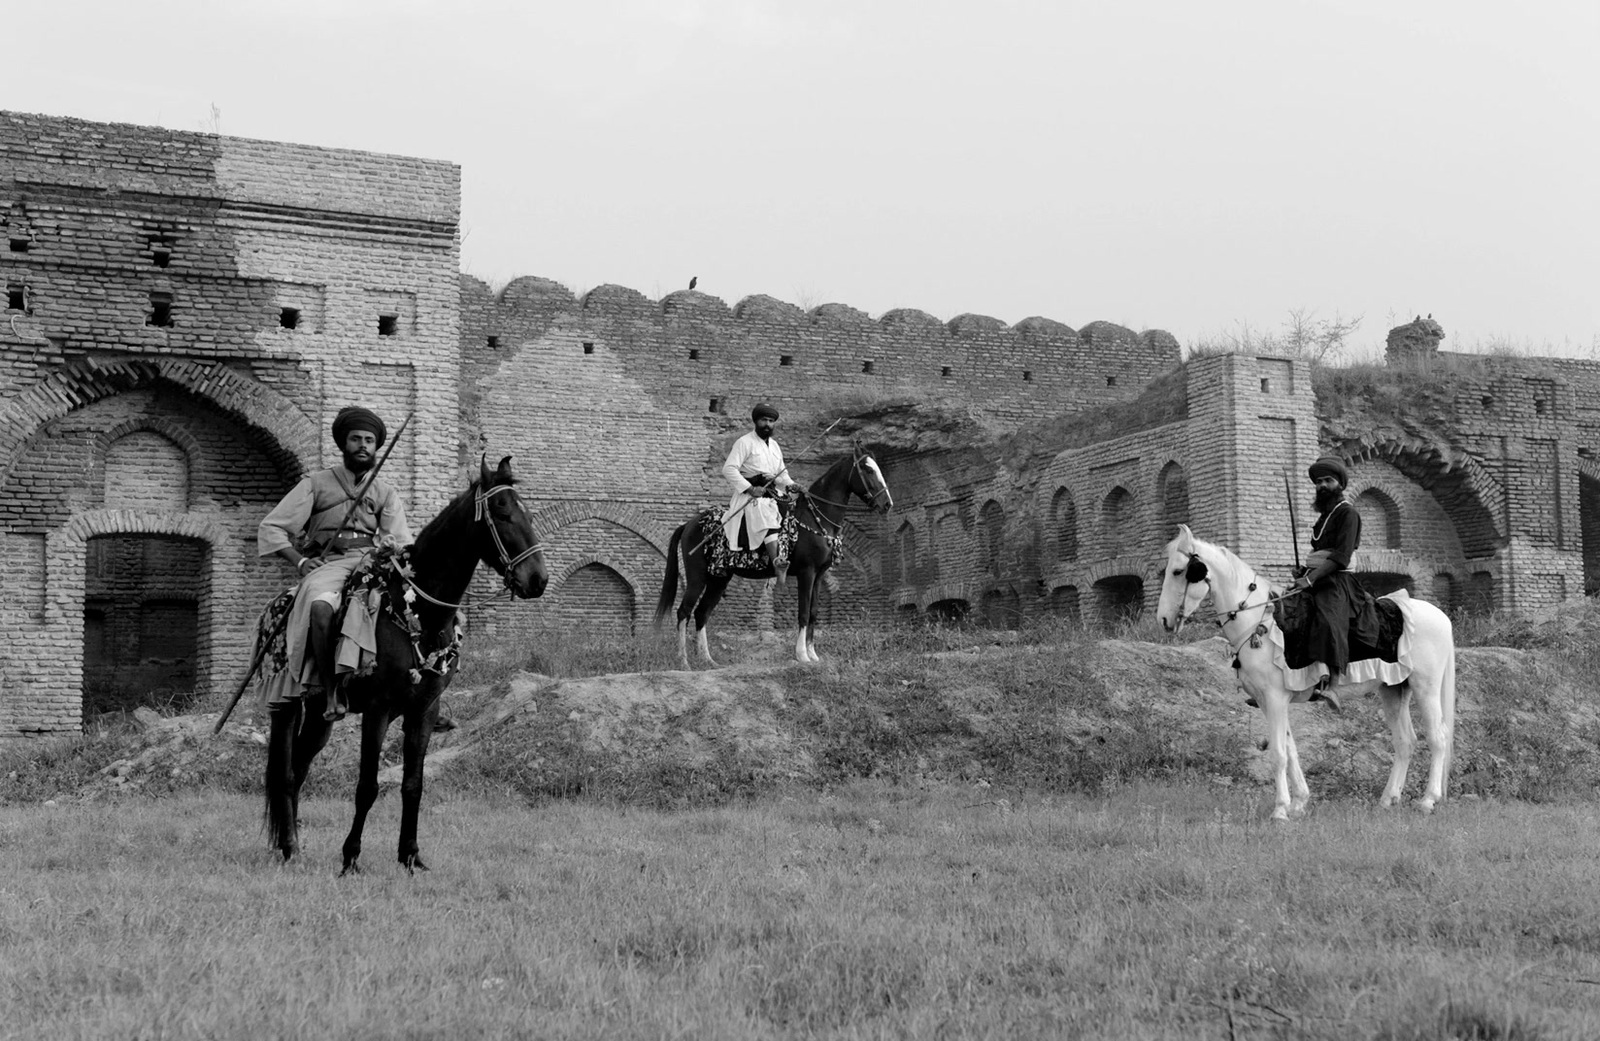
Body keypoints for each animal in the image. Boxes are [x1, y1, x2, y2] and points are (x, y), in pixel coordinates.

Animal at [265, 457, 547, 869]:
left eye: (526, 511)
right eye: (502, 511)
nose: (538, 579)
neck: (420, 613)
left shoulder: (424, 710)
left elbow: (414, 784)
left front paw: (410, 855)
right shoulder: (378, 710)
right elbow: (367, 786)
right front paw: (351, 857)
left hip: (318, 718)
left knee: (298, 769)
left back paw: (295, 845)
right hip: (287, 704)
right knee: (286, 773)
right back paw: (288, 847)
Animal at [656, 441, 896, 668]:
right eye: (868, 470)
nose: (887, 504)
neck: (815, 518)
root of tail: (689, 524)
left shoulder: (818, 576)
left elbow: (813, 613)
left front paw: (813, 654)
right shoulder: (807, 573)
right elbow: (803, 612)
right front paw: (802, 655)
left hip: (719, 579)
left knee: (701, 613)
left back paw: (707, 659)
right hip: (697, 577)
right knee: (684, 612)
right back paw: (683, 660)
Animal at [1158, 524, 1459, 818]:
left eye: (1178, 571)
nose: (1163, 620)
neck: (1258, 620)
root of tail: (1440, 617)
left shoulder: (1275, 699)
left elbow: (1279, 754)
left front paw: (1281, 809)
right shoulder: (1268, 702)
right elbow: (1290, 750)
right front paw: (1299, 802)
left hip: (1425, 688)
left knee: (1438, 738)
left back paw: (1428, 800)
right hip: (1394, 690)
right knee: (1405, 741)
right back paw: (1388, 799)